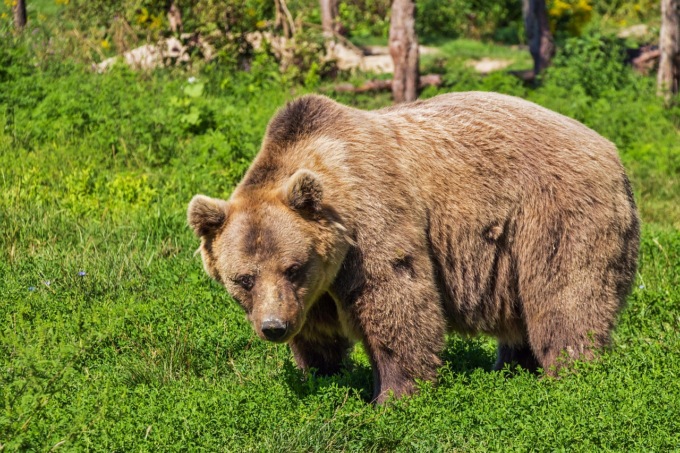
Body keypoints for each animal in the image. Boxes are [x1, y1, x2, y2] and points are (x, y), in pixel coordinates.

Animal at [188, 92, 640, 403]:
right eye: (243, 279)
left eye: (292, 267)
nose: (273, 327)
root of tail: (611, 151)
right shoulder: (314, 289)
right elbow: (318, 334)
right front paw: (322, 375)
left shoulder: (372, 223)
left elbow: (397, 301)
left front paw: (393, 395)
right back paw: (511, 368)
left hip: (555, 215)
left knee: (565, 297)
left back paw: (569, 374)